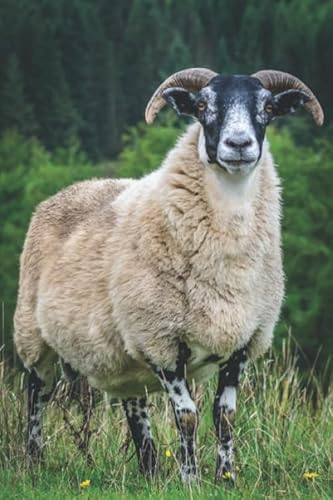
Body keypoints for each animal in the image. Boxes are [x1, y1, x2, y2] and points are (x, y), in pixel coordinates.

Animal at [14, 68, 322, 482]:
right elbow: (187, 417)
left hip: (122, 358)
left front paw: (226, 479)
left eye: (268, 108)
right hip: (34, 336)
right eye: (203, 106)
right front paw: (190, 480)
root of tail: (73, 188)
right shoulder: (160, 341)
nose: (239, 144)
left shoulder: (243, 342)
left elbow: (225, 417)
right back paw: (34, 461)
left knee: (133, 406)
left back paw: (148, 470)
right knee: (36, 393)